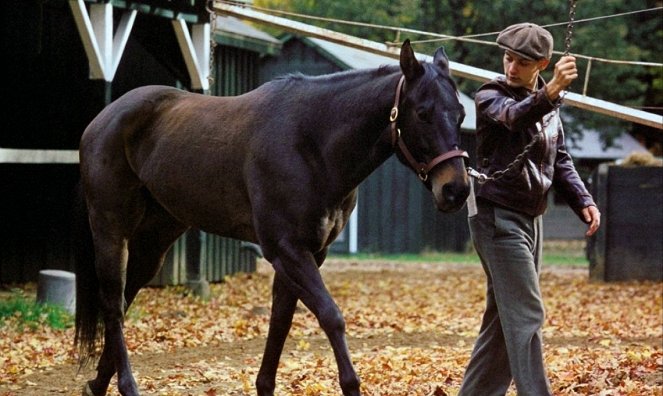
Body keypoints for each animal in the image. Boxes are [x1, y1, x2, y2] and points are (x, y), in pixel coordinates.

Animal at [75, 38, 472, 396]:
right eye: (422, 112)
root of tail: (103, 119)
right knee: (113, 303)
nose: (456, 189)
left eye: (462, 114)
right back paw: (126, 385)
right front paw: (351, 384)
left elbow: (280, 323)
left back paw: (98, 383)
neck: (311, 143)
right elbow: (331, 316)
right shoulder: (287, 250)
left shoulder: (308, 254)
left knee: (125, 299)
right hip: (111, 230)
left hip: (155, 239)